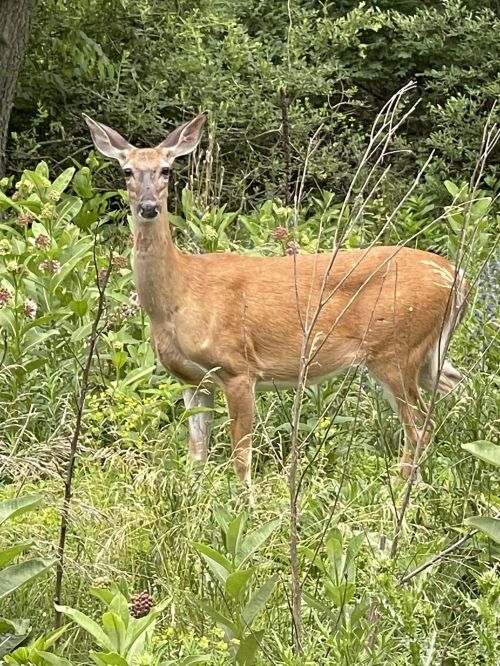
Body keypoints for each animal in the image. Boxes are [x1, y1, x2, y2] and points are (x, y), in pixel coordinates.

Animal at [84, 111, 468, 498]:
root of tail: (456, 275)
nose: (148, 207)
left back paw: (401, 492)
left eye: (166, 169)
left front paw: (246, 502)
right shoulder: (192, 381)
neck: (179, 296)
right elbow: (196, 455)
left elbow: (241, 454)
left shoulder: (237, 367)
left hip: (395, 348)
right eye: (127, 171)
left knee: (420, 426)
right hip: (426, 354)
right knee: (458, 389)